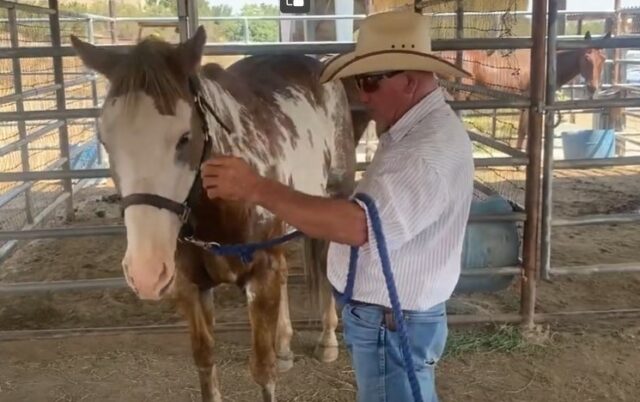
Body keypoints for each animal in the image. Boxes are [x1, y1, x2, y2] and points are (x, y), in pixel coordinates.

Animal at [69, 26, 356, 402]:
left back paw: (327, 341)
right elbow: (205, 362)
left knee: (323, 265)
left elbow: (262, 370)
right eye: (105, 140)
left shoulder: (259, 277)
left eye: (184, 137)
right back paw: (284, 346)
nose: (146, 271)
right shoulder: (191, 287)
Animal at [435, 31, 611, 150]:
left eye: (603, 59)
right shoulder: (528, 106)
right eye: (586, 57)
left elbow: (522, 131)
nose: (592, 87)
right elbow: (524, 132)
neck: (545, 67)